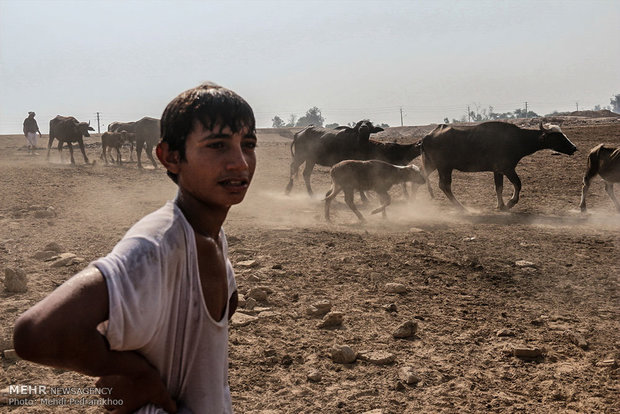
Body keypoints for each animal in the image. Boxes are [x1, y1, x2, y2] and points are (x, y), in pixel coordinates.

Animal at [422, 120, 576, 210]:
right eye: (558, 136)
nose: (574, 147)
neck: (518, 139)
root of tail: (428, 136)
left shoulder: (498, 171)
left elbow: (499, 187)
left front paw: (500, 205)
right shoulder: (507, 168)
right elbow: (518, 184)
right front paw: (510, 203)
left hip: (432, 166)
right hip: (445, 168)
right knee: (444, 185)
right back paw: (461, 207)